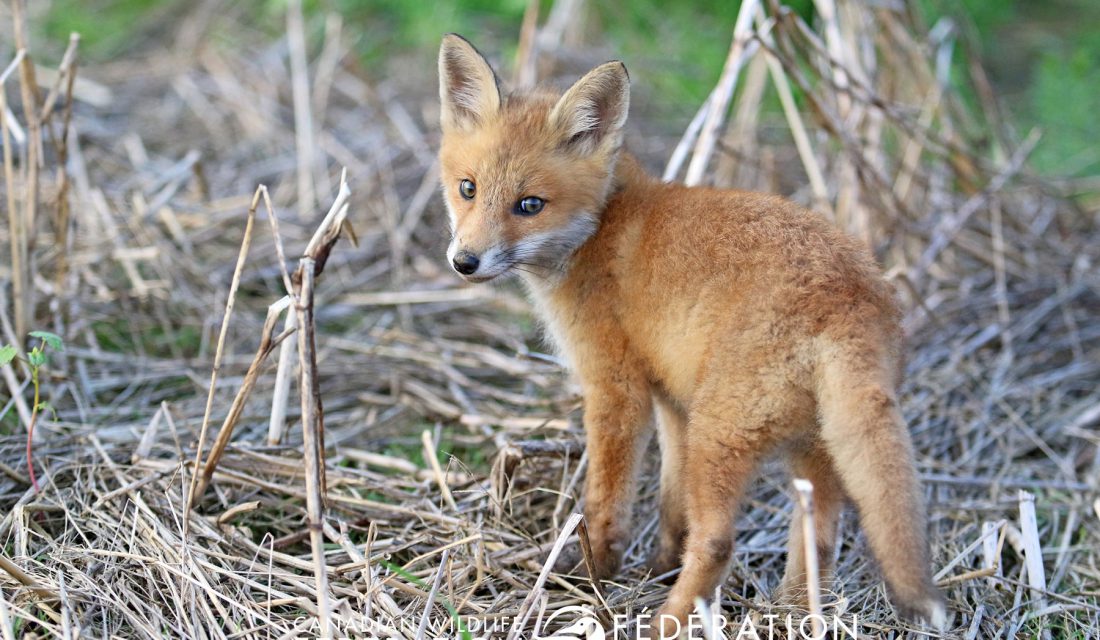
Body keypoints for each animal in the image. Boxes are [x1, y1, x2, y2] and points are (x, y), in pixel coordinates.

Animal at [435, 32, 946, 633]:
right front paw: (657, 568)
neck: (600, 227)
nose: (465, 262)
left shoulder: (617, 389)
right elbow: (670, 507)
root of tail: (848, 300)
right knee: (818, 539)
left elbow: (606, 504)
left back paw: (666, 623)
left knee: (718, 543)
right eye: (468, 189)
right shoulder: (672, 401)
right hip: (811, 447)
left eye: (529, 205)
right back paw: (788, 612)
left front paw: (592, 575)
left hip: (718, 436)